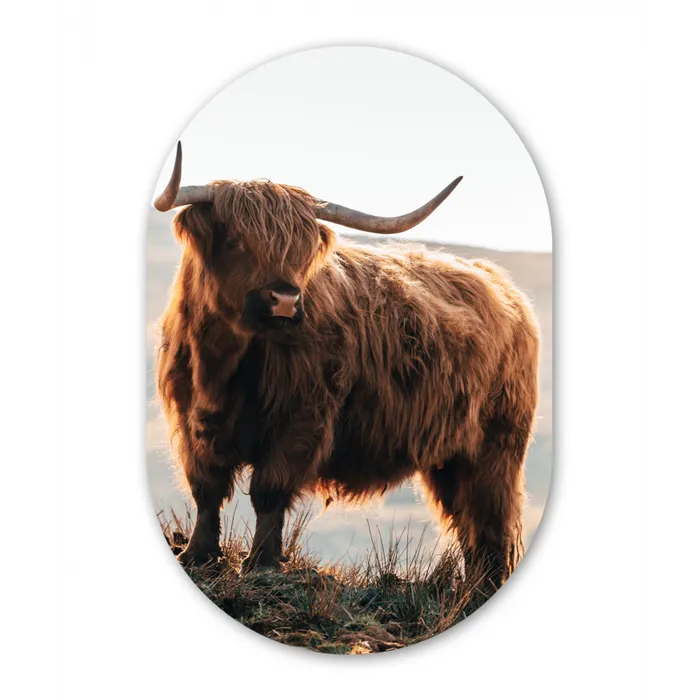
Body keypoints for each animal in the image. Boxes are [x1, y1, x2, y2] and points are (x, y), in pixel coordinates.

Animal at [154, 142, 539, 589]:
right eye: (236, 241)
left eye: (302, 251)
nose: (285, 300)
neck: (222, 364)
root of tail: (500, 284)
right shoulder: (191, 419)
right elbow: (206, 489)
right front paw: (198, 555)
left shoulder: (302, 419)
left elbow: (269, 490)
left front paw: (262, 563)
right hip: (449, 457)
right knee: (467, 519)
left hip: (496, 445)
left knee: (490, 516)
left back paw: (485, 585)